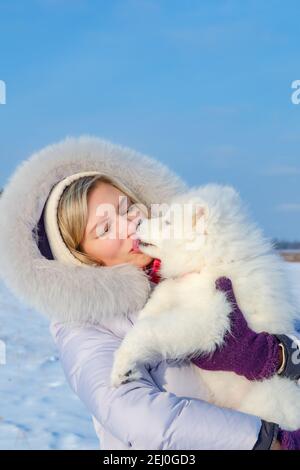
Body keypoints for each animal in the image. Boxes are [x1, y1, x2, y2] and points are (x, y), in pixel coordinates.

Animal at [111, 184, 300, 430]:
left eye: (168, 222)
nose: (138, 223)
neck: (206, 263)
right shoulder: (176, 289)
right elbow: (154, 308)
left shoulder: (214, 314)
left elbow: (148, 329)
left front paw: (122, 366)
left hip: (268, 396)